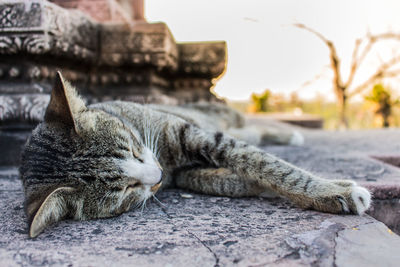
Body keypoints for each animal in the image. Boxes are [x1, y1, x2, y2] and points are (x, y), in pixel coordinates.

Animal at [20, 73, 372, 239]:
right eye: (126, 191)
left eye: (133, 148)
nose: (158, 176)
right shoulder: (182, 173)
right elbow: (228, 179)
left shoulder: (193, 134)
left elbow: (266, 164)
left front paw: (331, 190)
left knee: (253, 129)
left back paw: (290, 135)